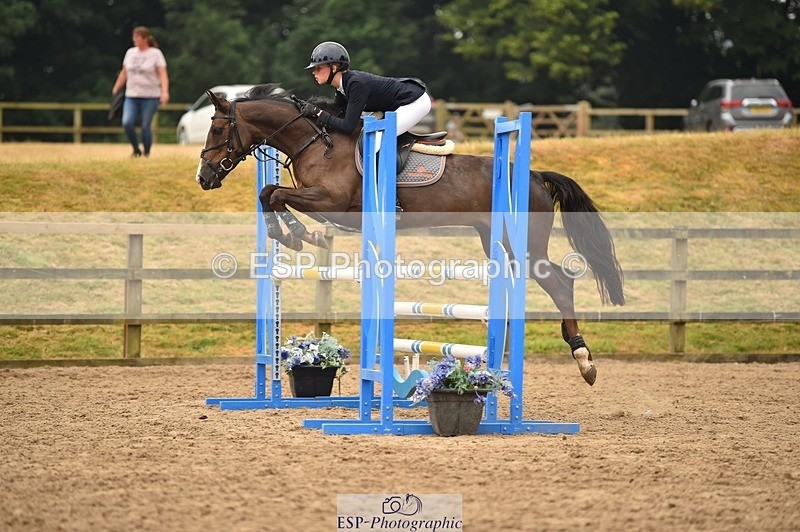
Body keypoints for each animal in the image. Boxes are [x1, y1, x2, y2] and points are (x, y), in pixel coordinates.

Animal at [194, 83, 624, 385]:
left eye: (217, 128)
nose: (204, 178)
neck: (315, 141)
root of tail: (534, 175)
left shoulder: (332, 201)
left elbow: (276, 194)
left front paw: (298, 235)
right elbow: (269, 193)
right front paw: (291, 235)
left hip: (524, 242)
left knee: (561, 282)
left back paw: (584, 360)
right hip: (496, 239)